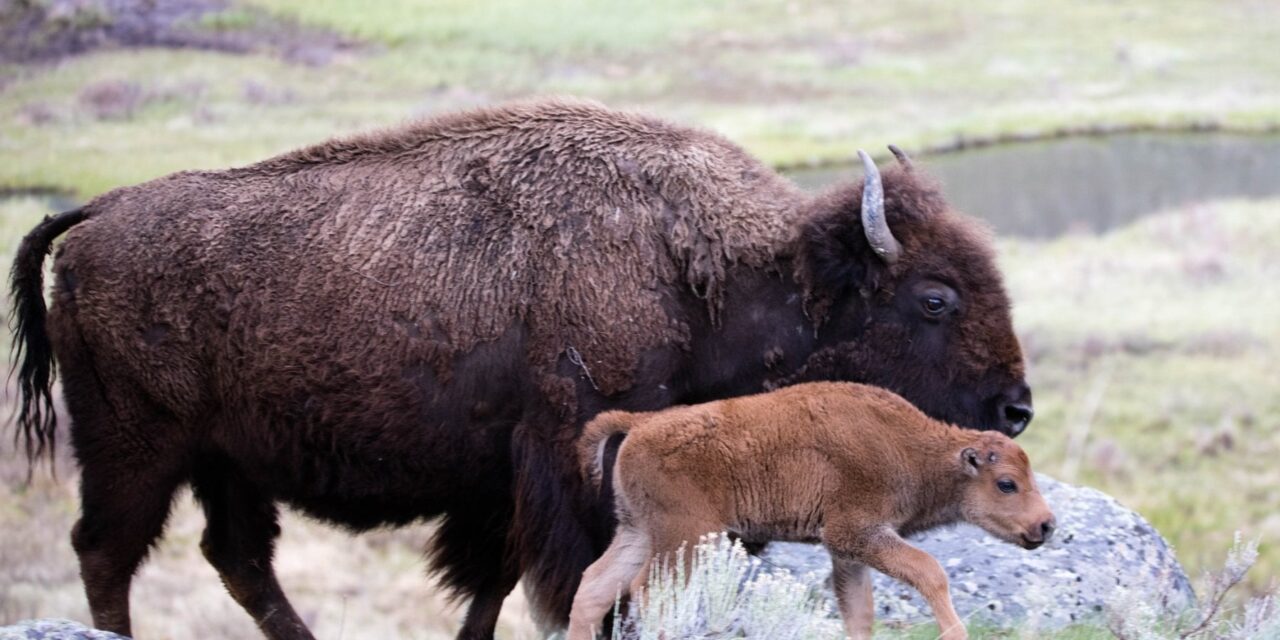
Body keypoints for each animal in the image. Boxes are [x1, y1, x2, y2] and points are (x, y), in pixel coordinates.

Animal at [568, 381, 1049, 637]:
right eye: (1007, 483)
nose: (1046, 525)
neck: (914, 448)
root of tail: (642, 422)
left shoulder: (849, 552)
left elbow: (859, 612)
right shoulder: (856, 533)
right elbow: (930, 571)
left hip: (639, 532)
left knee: (595, 587)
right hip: (686, 538)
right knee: (650, 594)